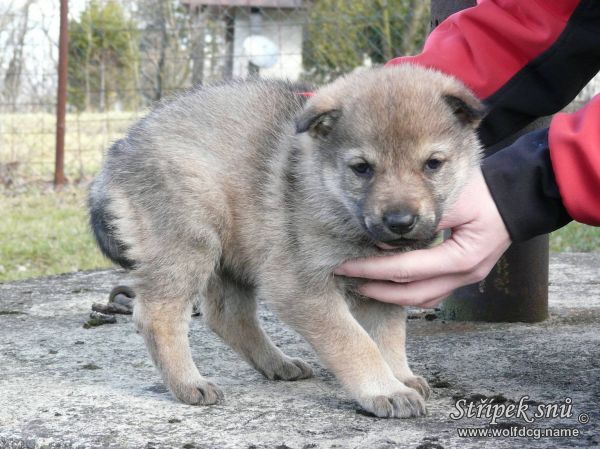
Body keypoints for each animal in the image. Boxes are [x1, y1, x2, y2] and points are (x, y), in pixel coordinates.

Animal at [89, 65, 482, 418]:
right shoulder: (301, 287)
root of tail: (118, 153)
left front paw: (399, 376)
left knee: (227, 317)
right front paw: (384, 389)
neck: (330, 193)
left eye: (433, 164)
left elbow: (387, 337)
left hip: (236, 251)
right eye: (362, 168)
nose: (400, 223)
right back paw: (188, 383)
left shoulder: (382, 287)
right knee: (159, 315)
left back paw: (277, 364)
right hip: (191, 238)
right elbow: (355, 341)